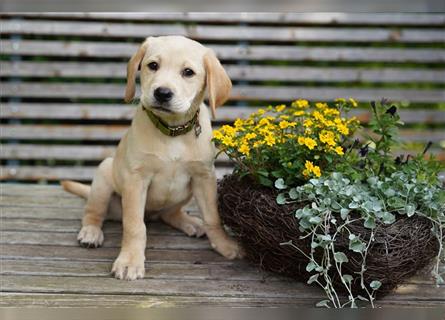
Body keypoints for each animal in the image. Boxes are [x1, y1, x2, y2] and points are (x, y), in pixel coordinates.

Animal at [60, 35, 243, 280]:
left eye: (188, 72)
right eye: (153, 65)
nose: (162, 93)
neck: (173, 131)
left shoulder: (204, 177)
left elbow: (213, 217)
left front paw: (225, 245)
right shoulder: (136, 180)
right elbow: (135, 226)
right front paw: (130, 261)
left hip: (186, 192)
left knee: (169, 214)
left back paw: (190, 222)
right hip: (103, 177)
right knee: (93, 212)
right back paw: (90, 232)